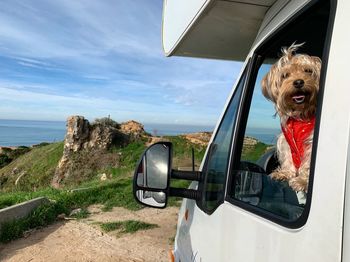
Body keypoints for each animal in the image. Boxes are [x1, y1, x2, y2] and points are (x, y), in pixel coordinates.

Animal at [262, 43, 322, 192]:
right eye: (285, 75)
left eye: (308, 71)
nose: (298, 82)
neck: (301, 114)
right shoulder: (286, 139)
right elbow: (288, 155)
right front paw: (285, 173)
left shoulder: (310, 140)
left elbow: (308, 163)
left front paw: (302, 181)